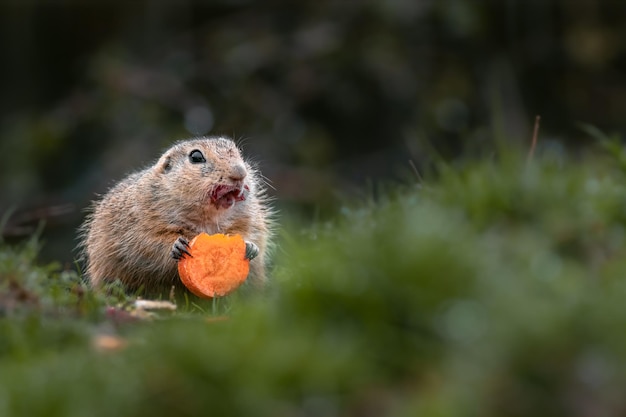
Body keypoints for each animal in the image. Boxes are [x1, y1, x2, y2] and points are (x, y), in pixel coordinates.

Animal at [79, 136, 272, 296]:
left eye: (238, 152)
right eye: (196, 157)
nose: (240, 173)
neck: (208, 218)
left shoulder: (249, 218)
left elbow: (250, 232)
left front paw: (250, 247)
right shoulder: (141, 221)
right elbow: (148, 243)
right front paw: (176, 246)